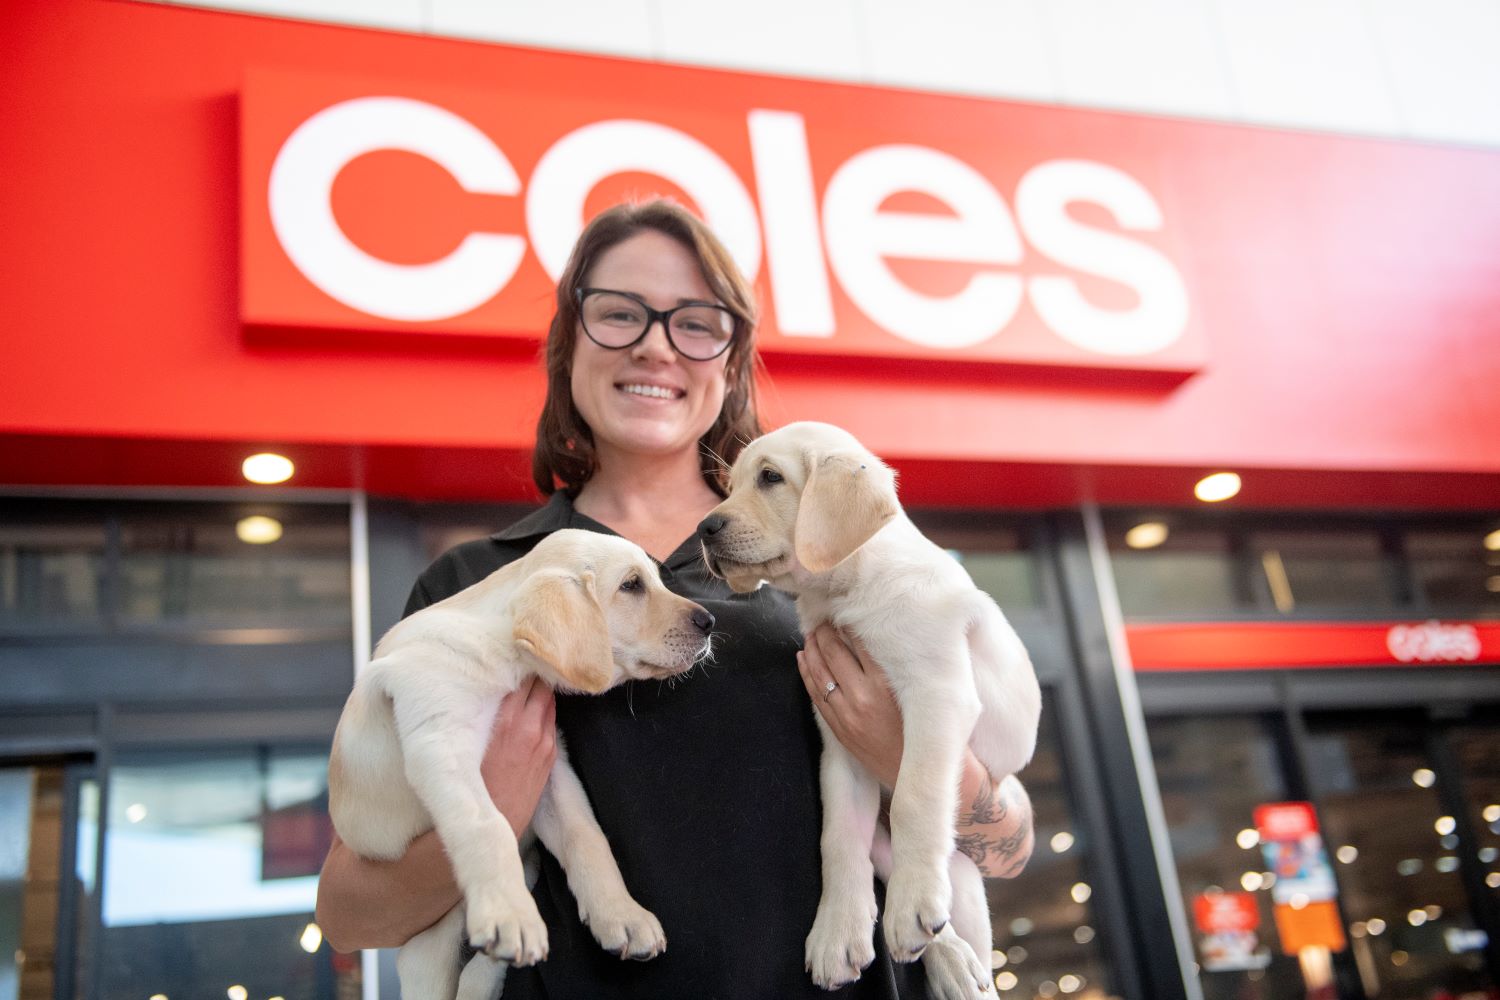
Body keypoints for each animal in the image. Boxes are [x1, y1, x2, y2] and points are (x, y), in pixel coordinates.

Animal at [331, 527, 717, 995]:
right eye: (631, 585)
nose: (710, 623)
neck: (502, 655)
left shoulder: (550, 770)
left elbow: (588, 837)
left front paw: (623, 916)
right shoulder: (440, 743)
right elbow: (487, 825)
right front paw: (509, 916)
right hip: (428, 955)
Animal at [696, 422, 1038, 1000]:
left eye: (770, 478)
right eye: (731, 485)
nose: (704, 527)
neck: (849, 590)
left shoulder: (936, 694)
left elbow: (916, 799)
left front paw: (910, 903)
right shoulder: (839, 739)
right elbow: (837, 838)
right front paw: (837, 932)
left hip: (968, 884)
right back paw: (944, 957)